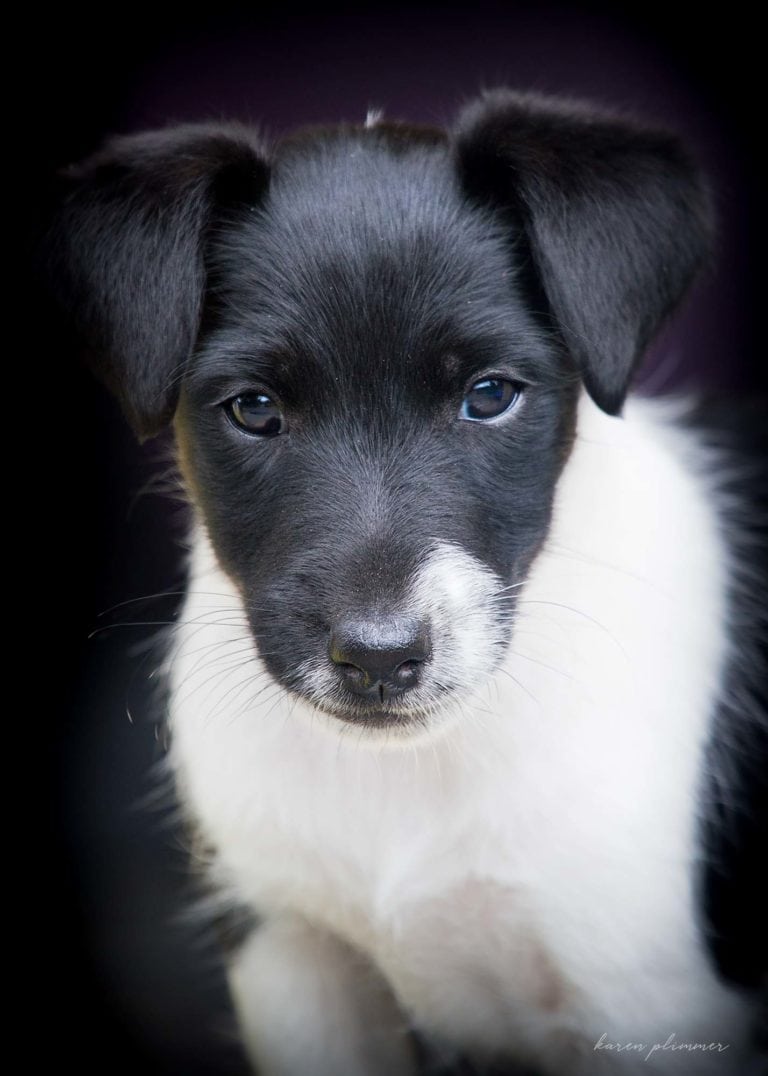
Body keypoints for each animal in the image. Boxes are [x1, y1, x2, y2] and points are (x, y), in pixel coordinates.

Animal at [47, 92, 761, 1076]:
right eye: (254, 409)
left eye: (490, 395)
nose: (380, 660)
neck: (416, 773)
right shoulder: (296, 963)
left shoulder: (642, 1005)